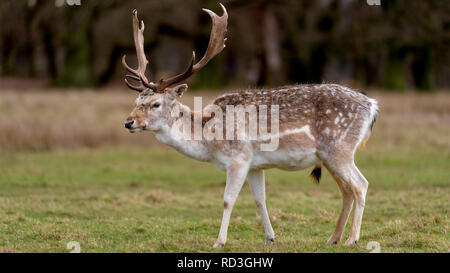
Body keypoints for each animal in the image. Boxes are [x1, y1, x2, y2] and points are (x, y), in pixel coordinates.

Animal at [121, 3, 378, 246]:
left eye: (155, 104)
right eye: (136, 101)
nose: (128, 122)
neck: (208, 140)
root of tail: (372, 105)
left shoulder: (239, 158)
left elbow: (227, 200)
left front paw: (219, 241)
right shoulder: (256, 165)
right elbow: (259, 199)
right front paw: (270, 238)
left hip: (339, 148)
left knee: (360, 185)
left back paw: (352, 239)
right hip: (328, 156)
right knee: (346, 190)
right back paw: (333, 238)